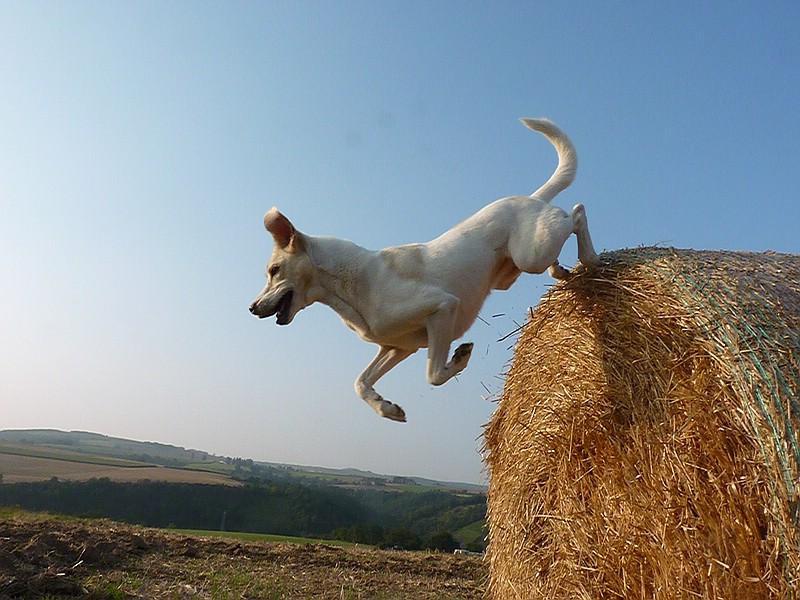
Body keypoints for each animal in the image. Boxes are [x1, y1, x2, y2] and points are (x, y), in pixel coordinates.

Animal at [252, 118, 600, 422]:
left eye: (274, 270)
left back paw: (590, 258)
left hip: (532, 253)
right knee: (562, 236)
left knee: (577, 212)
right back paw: (563, 272)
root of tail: (531, 198)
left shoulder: (442, 308)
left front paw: (460, 357)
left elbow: (433, 375)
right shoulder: (398, 347)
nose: (252, 308)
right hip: (518, 264)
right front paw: (387, 408)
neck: (350, 283)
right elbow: (361, 382)